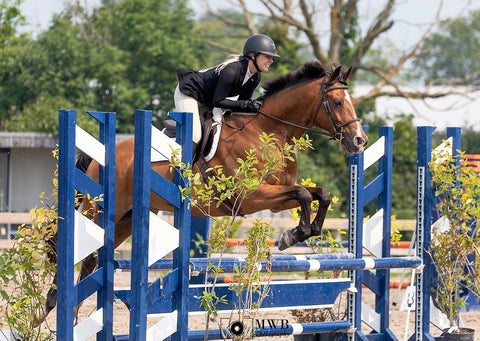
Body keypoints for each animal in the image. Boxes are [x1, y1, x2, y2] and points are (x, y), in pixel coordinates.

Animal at [34, 60, 368, 324]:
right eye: (338, 103)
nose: (360, 141)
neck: (268, 131)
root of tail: (100, 155)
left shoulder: (274, 195)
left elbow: (319, 193)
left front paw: (306, 231)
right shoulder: (250, 198)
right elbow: (303, 194)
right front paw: (293, 235)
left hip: (125, 220)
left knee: (93, 260)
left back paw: (66, 312)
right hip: (101, 210)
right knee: (79, 251)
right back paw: (52, 309)